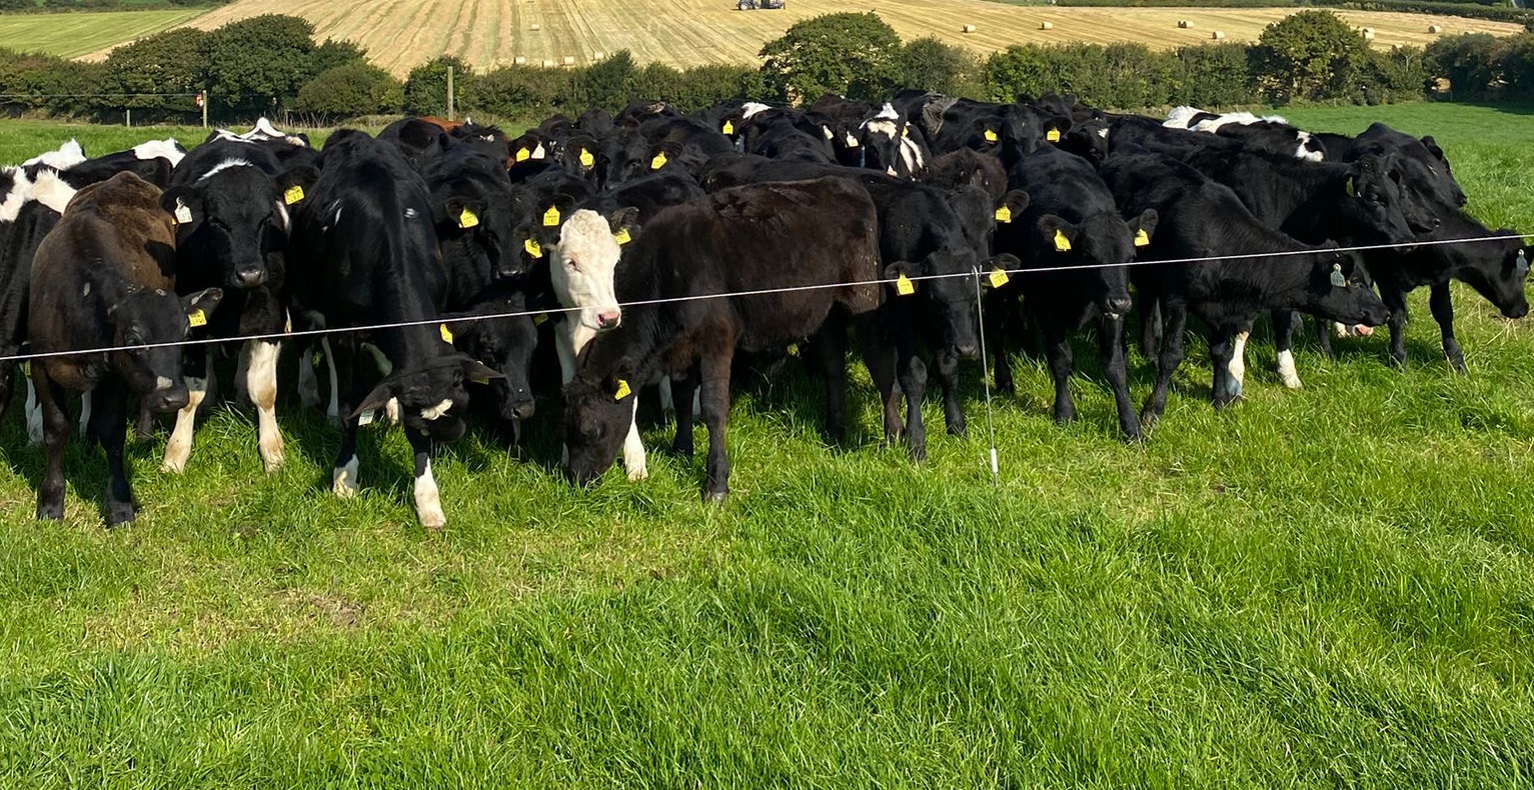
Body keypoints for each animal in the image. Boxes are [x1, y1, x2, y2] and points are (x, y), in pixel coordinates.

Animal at [27, 171, 223, 526]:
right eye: (133, 340)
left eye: (186, 334)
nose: (174, 397)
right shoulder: (41, 367)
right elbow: (56, 429)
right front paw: (50, 502)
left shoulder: (117, 374)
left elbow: (113, 433)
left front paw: (119, 504)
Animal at [287, 130, 499, 529]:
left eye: (461, 403)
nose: (454, 435)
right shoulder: (344, 329)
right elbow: (351, 400)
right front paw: (345, 474)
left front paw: (427, 500)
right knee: (316, 345)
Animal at [563, 177, 882, 500]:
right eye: (567, 428)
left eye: (592, 430)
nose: (576, 479)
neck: (671, 274)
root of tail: (843, 182)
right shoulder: (683, 349)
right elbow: (682, 398)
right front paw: (681, 449)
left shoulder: (716, 340)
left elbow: (713, 408)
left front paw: (716, 484)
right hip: (826, 314)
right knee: (833, 368)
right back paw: (835, 430)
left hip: (864, 296)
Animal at [1099, 153, 1391, 429]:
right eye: (1355, 281)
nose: (1384, 312)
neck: (1223, 244)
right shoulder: (1177, 299)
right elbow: (1171, 356)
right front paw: (1153, 411)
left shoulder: (1223, 308)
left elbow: (1220, 352)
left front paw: (1219, 399)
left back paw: (1146, 351)